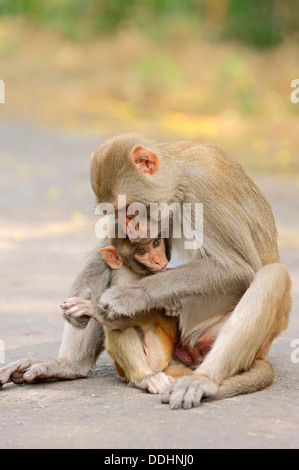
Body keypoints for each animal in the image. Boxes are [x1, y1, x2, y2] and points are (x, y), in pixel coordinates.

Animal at [61, 235, 191, 392]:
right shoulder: (123, 272)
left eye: (155, 243)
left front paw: (97, 311)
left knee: (117, 326)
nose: (158, 260)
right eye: (141, 251)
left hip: (159, 353)